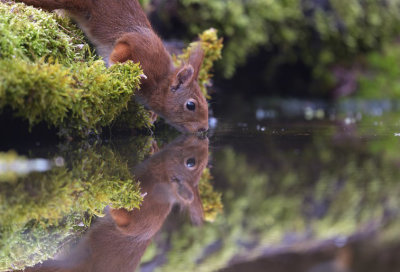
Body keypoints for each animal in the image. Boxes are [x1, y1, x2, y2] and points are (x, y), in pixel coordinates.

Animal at [18, 0, 209, 133]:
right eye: (191, 105)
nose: (204, 129)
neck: (160, 82)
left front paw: (151, 116)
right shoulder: (138, 47)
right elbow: (120, 52)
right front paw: (115, 69)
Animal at [23, 135, 208, 270]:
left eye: (190, 162)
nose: (203, 138)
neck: (160, 180)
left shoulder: (145, 212)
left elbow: (124, 219)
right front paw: (152, 147)